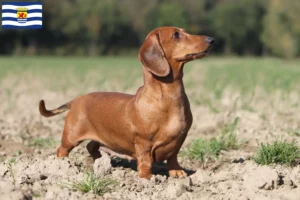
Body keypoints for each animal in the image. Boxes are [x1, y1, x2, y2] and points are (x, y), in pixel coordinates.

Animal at [39, 26, 213, 178]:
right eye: (176, 35)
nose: (211, 39)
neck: (168, 98)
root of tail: (77, 99)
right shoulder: (143, 142)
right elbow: (145, 160)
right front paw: (147, 177)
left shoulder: (180, 139)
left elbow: (173, 157)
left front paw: (176, 172)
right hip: (71, 136)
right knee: (62, 149)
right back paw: (62, 165)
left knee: (91, 146)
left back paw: (99, 162)